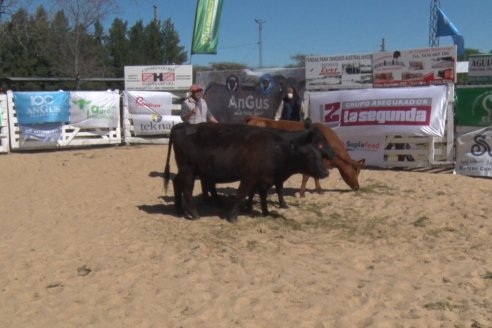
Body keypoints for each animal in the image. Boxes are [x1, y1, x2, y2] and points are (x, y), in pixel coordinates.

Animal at [164, 123, 330, 223]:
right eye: (310, 156)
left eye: (319, 154)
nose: (325, 172)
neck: (273, 150)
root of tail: (181, 126)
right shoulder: (249, 177)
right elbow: (242, 194)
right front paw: (233, 216)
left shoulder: (265, 179)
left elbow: (261, 195)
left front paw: (265, 212)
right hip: (188, 170)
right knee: (187, 190)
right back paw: (194, 214)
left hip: (186, 170)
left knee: (176, 183)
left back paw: (179, 210)